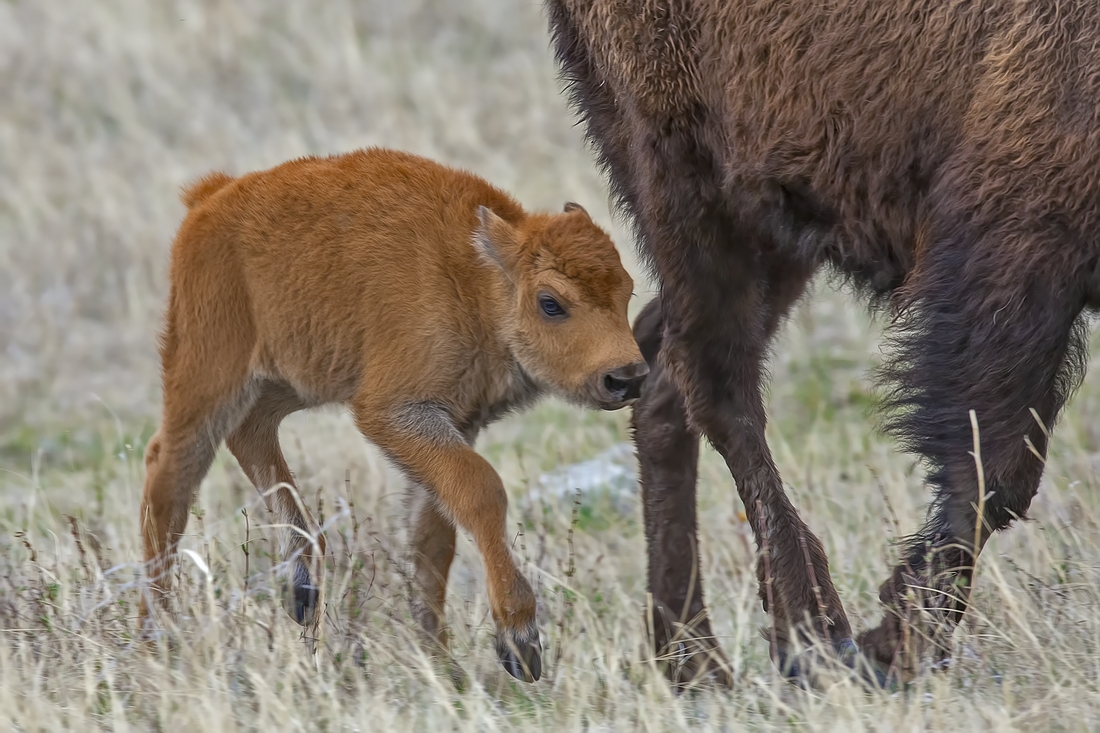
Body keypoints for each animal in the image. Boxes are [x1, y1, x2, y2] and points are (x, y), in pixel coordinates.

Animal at [137, 147, 642, 677]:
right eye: (550, 303)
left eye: (627, 290)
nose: (627, 377)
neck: (475, 278)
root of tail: (209, 199)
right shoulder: (390, 411)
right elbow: (481, 490)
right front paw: (520, 642)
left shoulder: (455, 422)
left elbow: (434, 533)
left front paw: (439, 659)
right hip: (211, 373)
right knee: (171, 471)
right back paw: (155, 638)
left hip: (290, 379)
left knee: (249, 437)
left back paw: (303, 586)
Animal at [547, 0, 1100, 686]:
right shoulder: (1019, 241)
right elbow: (994, 469)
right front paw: (892, 648)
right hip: (684, 179)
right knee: (712, 382)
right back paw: (811, 636)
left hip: (772, 226)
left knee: (660, 373)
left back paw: (696, 661)